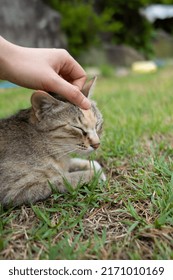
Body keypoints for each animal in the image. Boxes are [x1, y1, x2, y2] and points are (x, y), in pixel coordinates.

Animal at [0, 77, 105, 208]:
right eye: (78, 128)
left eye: (97, 124)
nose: (97, 144)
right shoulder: (15, 189)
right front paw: (95, 174)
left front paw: (95, 167)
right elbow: (64, 179)